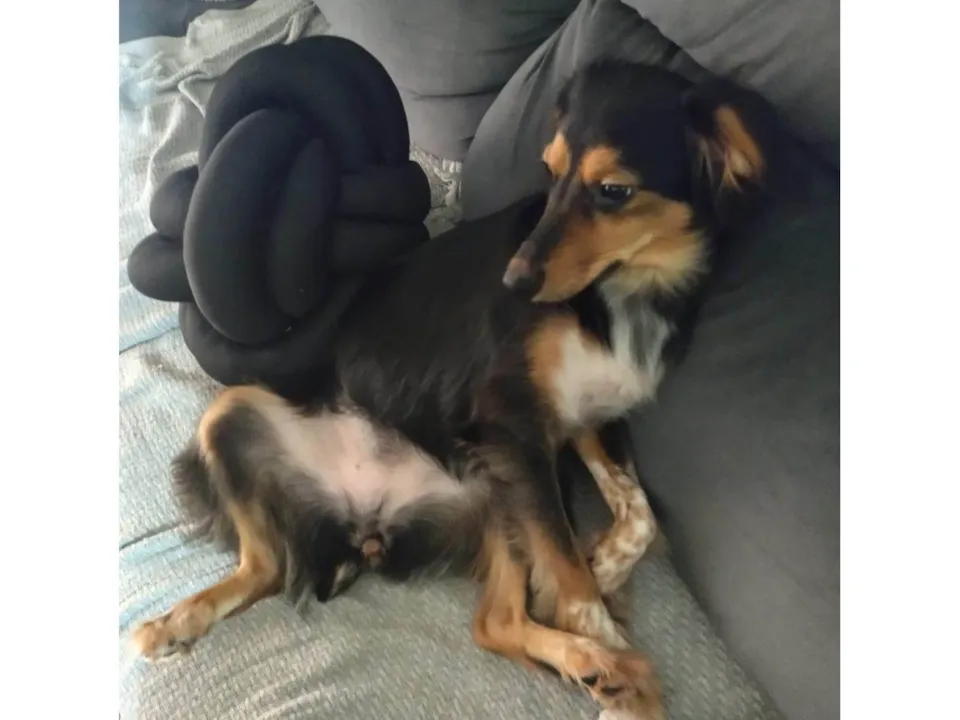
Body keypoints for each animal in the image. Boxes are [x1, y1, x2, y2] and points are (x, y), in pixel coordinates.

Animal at [130, 58, 778, 719]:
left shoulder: (579, 420)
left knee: (493, 623)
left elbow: (638, 513)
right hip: (234, 412)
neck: (627, 290)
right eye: (549, 173)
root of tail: (362, 523)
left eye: (614, 191)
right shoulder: (511, 421)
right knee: (262, 566)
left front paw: (607, 567)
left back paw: (594, 665)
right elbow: (574, 584)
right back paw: (172, 624)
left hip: (492, 491)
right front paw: (618, 654)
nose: (513, 282)